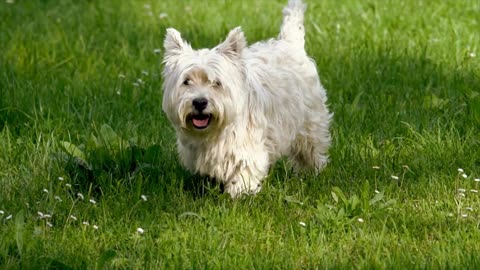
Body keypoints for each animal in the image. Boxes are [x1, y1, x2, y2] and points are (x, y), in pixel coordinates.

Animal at [163, 0, 332, 198]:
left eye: (216, 83)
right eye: (186, 81)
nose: (199, 102)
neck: (213, 133)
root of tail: (289, 43)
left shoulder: (246, 150)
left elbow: (243, 174)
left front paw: (238, 196)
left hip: (309, 123)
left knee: (311, 150)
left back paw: (312, 173)